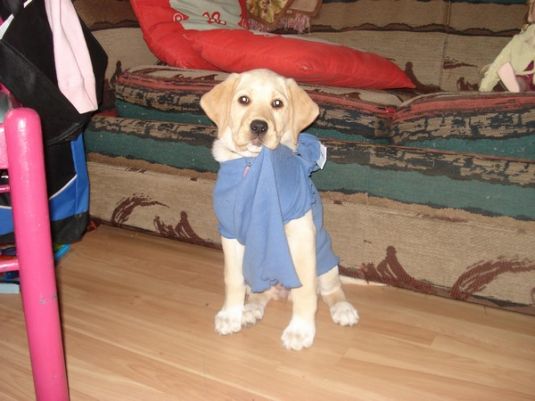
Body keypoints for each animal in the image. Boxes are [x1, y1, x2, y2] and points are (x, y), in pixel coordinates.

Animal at [201, 69, 360, 350]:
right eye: (243, 100)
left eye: (277, 104)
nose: (259, 126)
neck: (253, 164)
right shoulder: (230, 233)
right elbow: (233, 279)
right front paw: (230, 315)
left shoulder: (301, 235)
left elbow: (305, 290)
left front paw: (300, 331)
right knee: (259, 292)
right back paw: (250, 310)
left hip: (326, 261)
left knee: (331, 289)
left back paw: (343, 309)